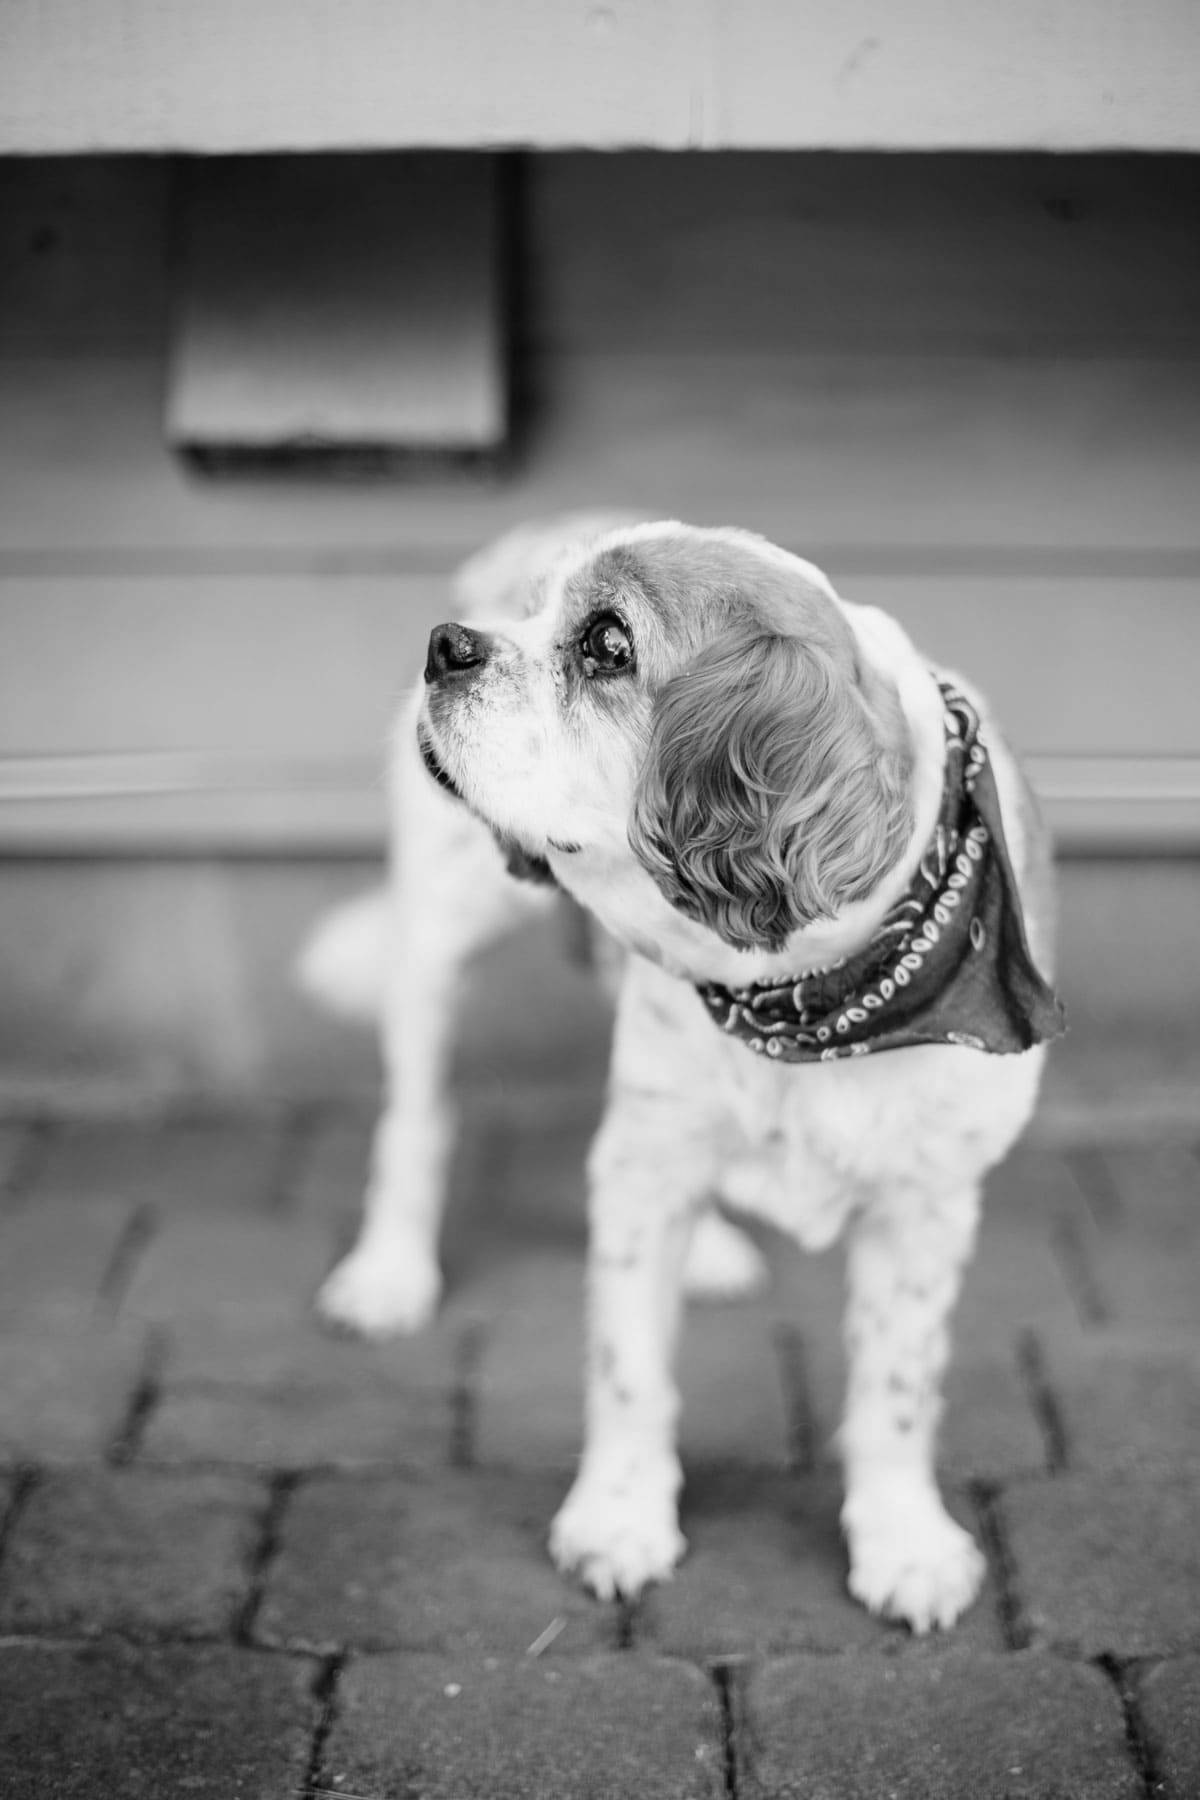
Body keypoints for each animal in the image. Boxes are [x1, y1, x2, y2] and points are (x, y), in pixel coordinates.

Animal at [305, 514, 1065, 1641]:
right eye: (532, 616)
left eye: (608, 645)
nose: (448, 645)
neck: (807, 993)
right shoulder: (641, 1164)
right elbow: (628, 1366)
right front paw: (620, 1519)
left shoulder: (929, 1200)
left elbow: (895, 1385)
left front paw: (903, 1540)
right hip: (439, 940)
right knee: (417, 1121)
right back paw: (391, 1272)